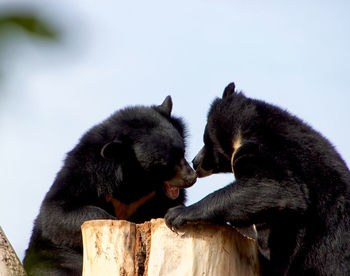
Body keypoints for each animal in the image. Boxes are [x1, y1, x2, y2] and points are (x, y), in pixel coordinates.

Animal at [23, 96, 197, 274]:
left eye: (182, 151)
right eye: (163, 164)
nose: (191, 178)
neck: (139, 180)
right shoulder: (85, 173)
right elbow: (56, 212)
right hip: (51, 255)